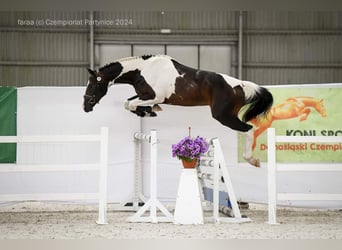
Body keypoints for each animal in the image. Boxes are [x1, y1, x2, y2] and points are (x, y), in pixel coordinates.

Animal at [84, 54, 274, 166]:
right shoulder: (144, 95)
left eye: (93, 84)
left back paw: (251, 159)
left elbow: (130, 104)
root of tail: (241, 85)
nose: (85, 106)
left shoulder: (156, 96)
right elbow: (127, 103)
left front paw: (148, 111)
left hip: (223, 116)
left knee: (249, 129)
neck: (142, 70)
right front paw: (146, 111)